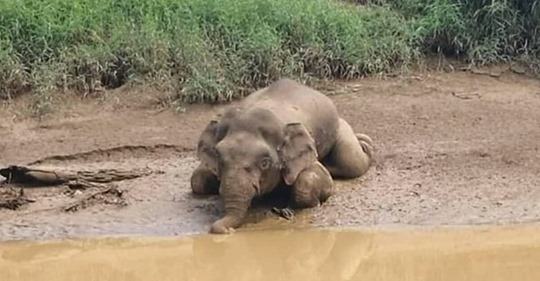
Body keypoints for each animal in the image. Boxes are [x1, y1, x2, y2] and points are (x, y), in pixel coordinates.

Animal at [191, 77, 376, 233]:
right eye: (218, 157)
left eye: (265, 163)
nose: (228, 231)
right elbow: (197, 179)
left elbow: (312, 179)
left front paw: (313, 203)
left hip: (339, 128)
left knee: (351, 161)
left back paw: (365, 144)